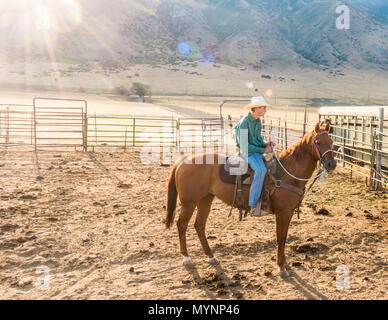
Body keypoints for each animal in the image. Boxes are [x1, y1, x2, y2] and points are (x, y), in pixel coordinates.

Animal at [164, 121, 336, 276]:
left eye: (332, 142)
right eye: (318, 142)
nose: (331, 164)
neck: (287, 173)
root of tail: (183, 161)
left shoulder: (289, 212)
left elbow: (284, 237)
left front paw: (285, 264)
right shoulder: (283, 213)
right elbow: (281, 238)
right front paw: (281, 267)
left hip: (205, 200)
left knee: (199, 225)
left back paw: (211, 256)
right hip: (189, 203)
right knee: (181, 225)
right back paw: (187, 258)